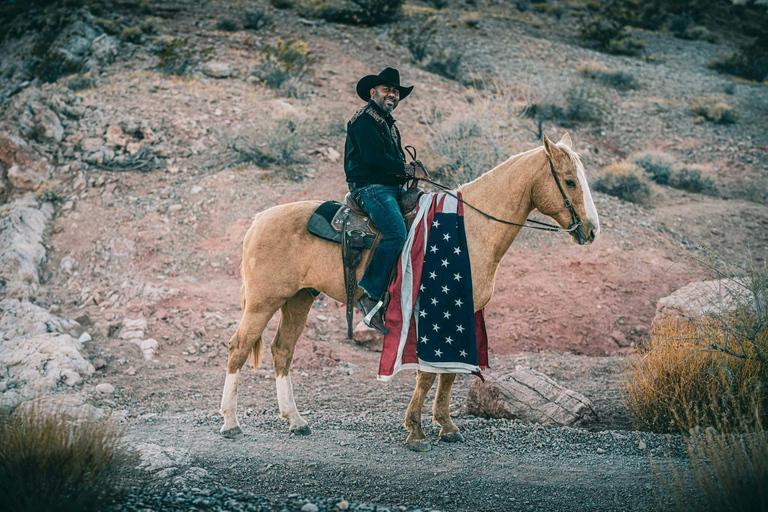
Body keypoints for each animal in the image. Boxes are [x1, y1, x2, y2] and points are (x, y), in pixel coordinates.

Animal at [219, 133, 604, 452]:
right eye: (569, 180)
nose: (591, 230)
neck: (468, 228)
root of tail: (259, 219)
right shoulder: (428, 311)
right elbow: (427, 373)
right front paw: (416, 431)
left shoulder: (460, 311)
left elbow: (449, 372)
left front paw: (446, 426)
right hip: (263, 302)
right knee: (238, 348)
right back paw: (230, 423)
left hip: (298, 299)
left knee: (282, 351)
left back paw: (296, 421)